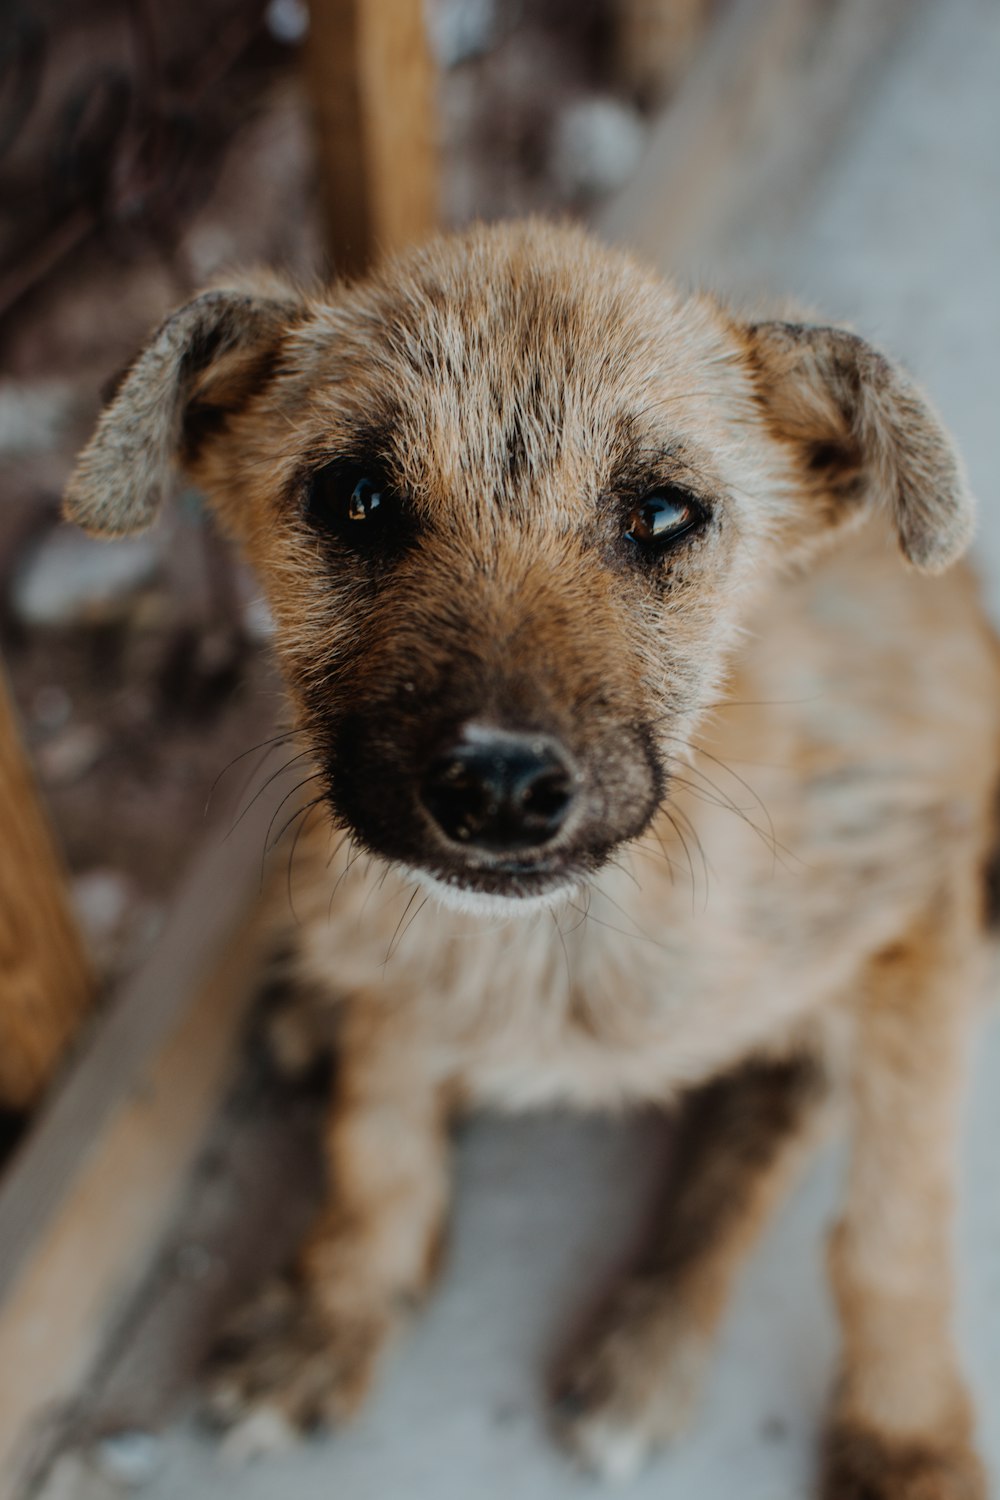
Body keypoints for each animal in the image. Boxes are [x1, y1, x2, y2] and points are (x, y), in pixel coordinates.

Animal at [66, 217, 995, 1494]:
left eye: (664, 514)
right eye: (355, 497)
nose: (499, 788)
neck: (563, 945)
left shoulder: (917, 920)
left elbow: (891, 1225)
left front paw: (907, 1434)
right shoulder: (399, 963)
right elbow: (377, 1141)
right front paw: (334, 1311)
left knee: (771, 1121)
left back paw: (650, 1348)